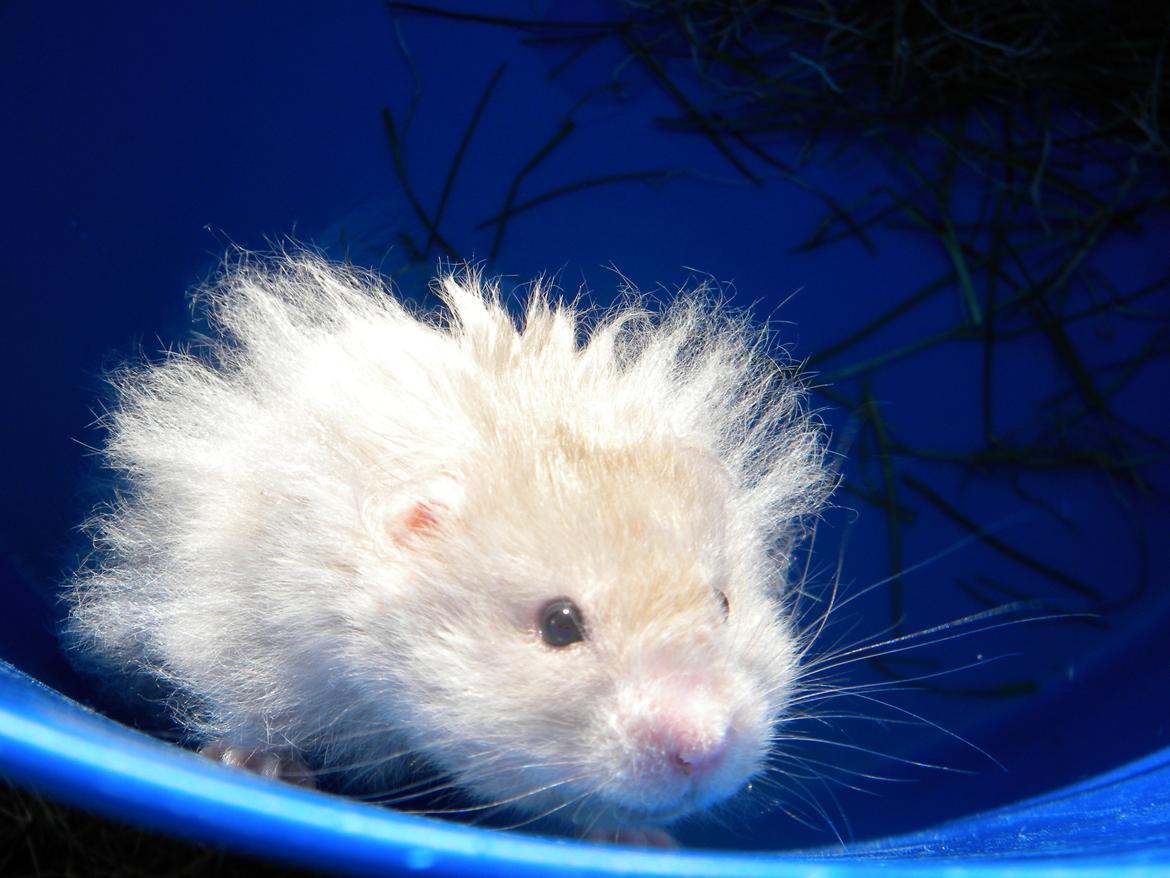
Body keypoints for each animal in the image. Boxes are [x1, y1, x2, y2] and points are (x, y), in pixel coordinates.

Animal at [64, 252, 833, 841]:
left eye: (724, 603)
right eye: (559, 625)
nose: (704, 748)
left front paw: (646, 843)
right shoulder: (239, 623)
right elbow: (246, 702)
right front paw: (256, 768)